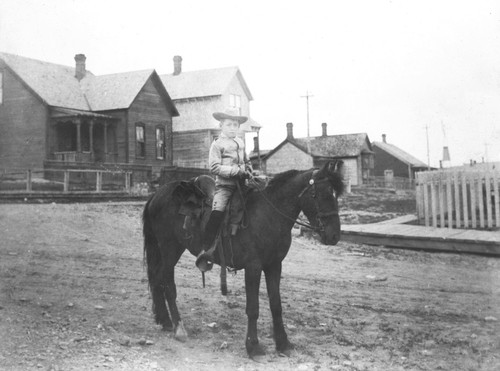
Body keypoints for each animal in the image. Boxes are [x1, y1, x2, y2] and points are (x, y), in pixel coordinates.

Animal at [141, 161, 344, 358]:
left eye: (335, 195)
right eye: (321, 194)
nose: (334, 235)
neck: (269, 215)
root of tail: (157, 194)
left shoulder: (274, 265)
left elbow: (276, 305)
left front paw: (283, 344)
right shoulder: (253, 267)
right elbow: (253, 308)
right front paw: (253, 346)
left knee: (156, 278)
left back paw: (164, 320)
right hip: (170, 248)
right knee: (168, 285)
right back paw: (179, 328)